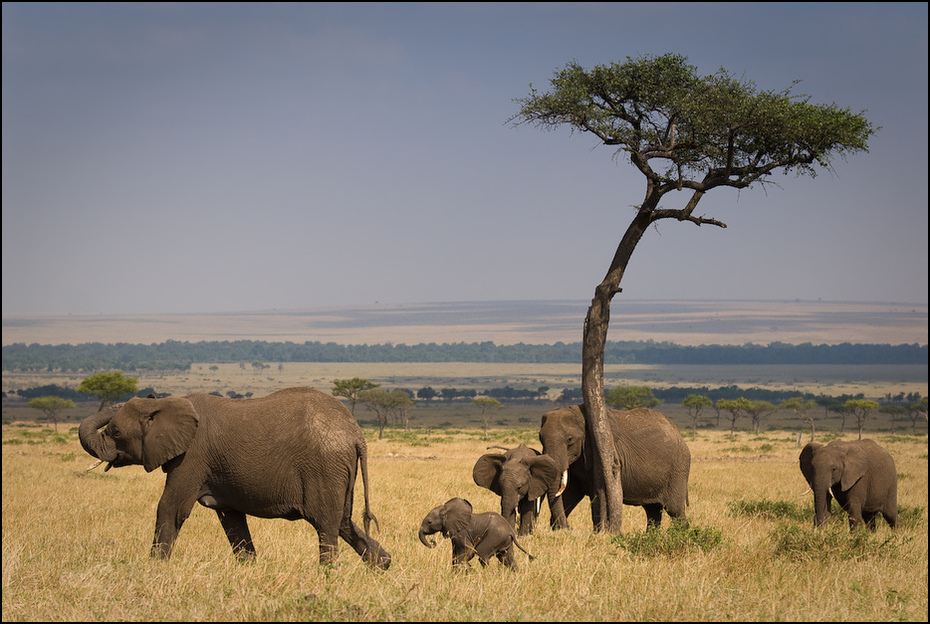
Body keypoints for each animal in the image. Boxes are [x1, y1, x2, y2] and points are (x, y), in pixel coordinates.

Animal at [75, 388, 388, 568]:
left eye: (116, 432)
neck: (171, 404)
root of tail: (356, 433)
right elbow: (232, 519)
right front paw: (249, 569)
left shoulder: (192, 456)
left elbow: (171, 508)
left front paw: (153, 569)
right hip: (338, 471)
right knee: (342, 521)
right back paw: (382, 565)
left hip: (324, 467)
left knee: (326, 523)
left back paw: (327, 575)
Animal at [536, 404, 688, 532]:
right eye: (540, 438)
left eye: (570, 439)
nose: (570, 528)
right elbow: (569, 494)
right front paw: (558, 531)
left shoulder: (601, 457)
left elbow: (596, 495)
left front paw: (599, 533)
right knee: (653, 510)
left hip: (678, 469)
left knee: (675, 510)